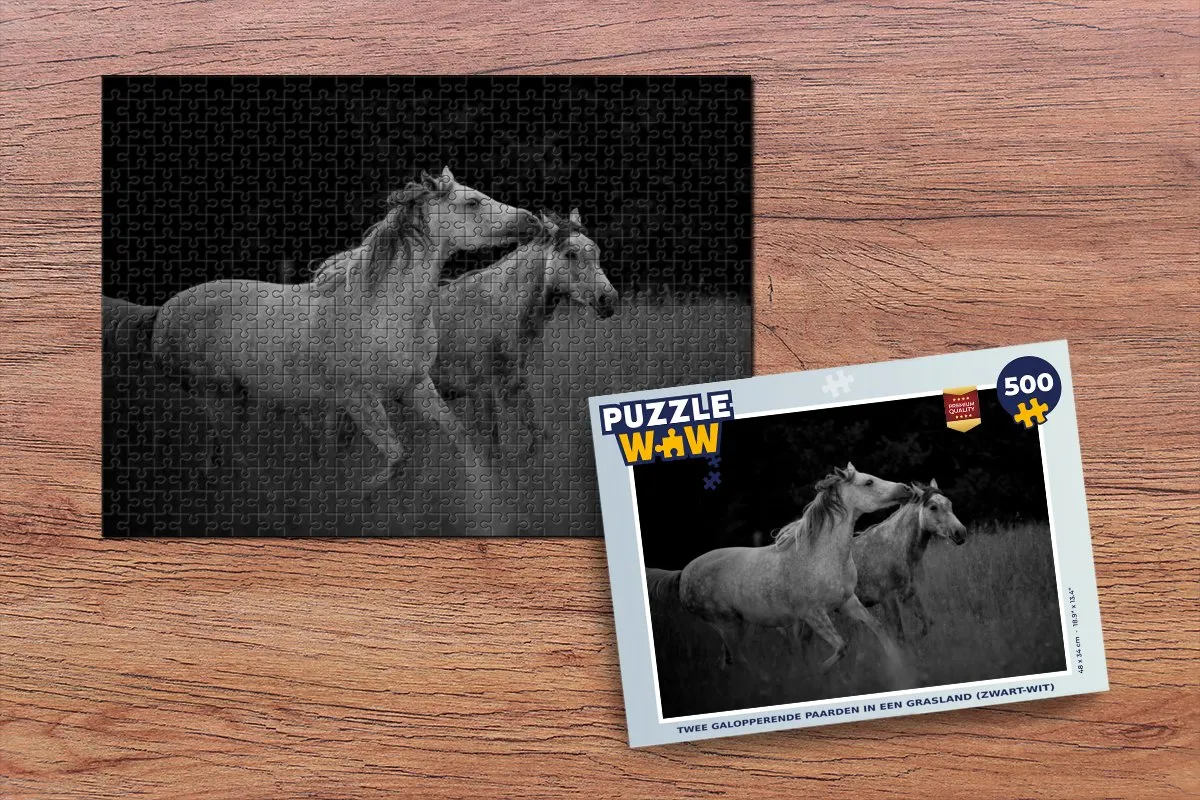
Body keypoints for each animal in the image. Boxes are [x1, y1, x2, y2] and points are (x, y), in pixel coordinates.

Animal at [150, 167, 539, 527]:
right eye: (472, 202)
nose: (531, 221)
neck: (383, 310)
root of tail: (164, 314)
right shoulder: (357, 398)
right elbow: (398, 455)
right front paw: (355, 498)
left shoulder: (415, 386)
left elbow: (464, 440)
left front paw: (490, 507)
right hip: (217, 397)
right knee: (232, 454)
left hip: (240, 401)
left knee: (218, 457)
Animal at [431, 209, 617, 461]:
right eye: (571, 253)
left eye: (596, 250)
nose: (608, 299)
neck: (495, 311)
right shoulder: (481, 391)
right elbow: (492, 446)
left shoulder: (515, 383)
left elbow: (537, 432)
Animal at [679, 463, 913, 675]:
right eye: (868, 482)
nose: (906, 489)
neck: (821, 556)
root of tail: (683, 576)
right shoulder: (812, 614)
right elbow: (841, 646)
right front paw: (815, 671)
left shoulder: (848, 602)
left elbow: (878, 628)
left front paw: (898, 666)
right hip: (726, 625)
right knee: (737, 658)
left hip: (736, 624)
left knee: (726, 660)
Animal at [852, 479, 967, 641]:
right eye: (933, 507)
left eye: (949, 503)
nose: (961, 532)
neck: (891, 547)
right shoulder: (889, 600)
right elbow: (900, 635)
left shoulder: (909, 595)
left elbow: (927, 623)